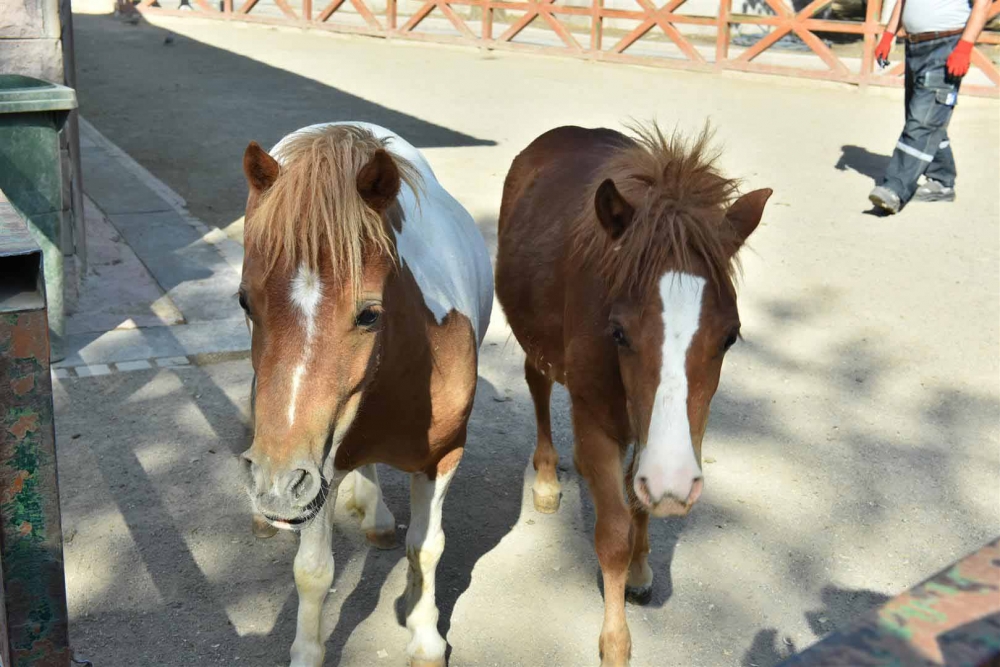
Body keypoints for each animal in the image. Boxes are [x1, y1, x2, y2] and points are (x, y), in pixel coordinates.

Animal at [239, 122, 496, 664]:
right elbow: (313, 571)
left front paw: (424, 634)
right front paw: (307, 652)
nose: (276, 485)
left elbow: (427, 547)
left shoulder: (443, 458)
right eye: (244, 301)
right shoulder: (318, 471)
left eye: (370, 314)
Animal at [496, 126, 768, 667]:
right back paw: (547, 477)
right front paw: (615, 642)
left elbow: (637, 496)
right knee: (538, 386)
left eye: (730, 337)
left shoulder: (667, 434)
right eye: (618, 332)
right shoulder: (597, 417)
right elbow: (613, 534)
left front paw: (642, 569)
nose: (675, 484)